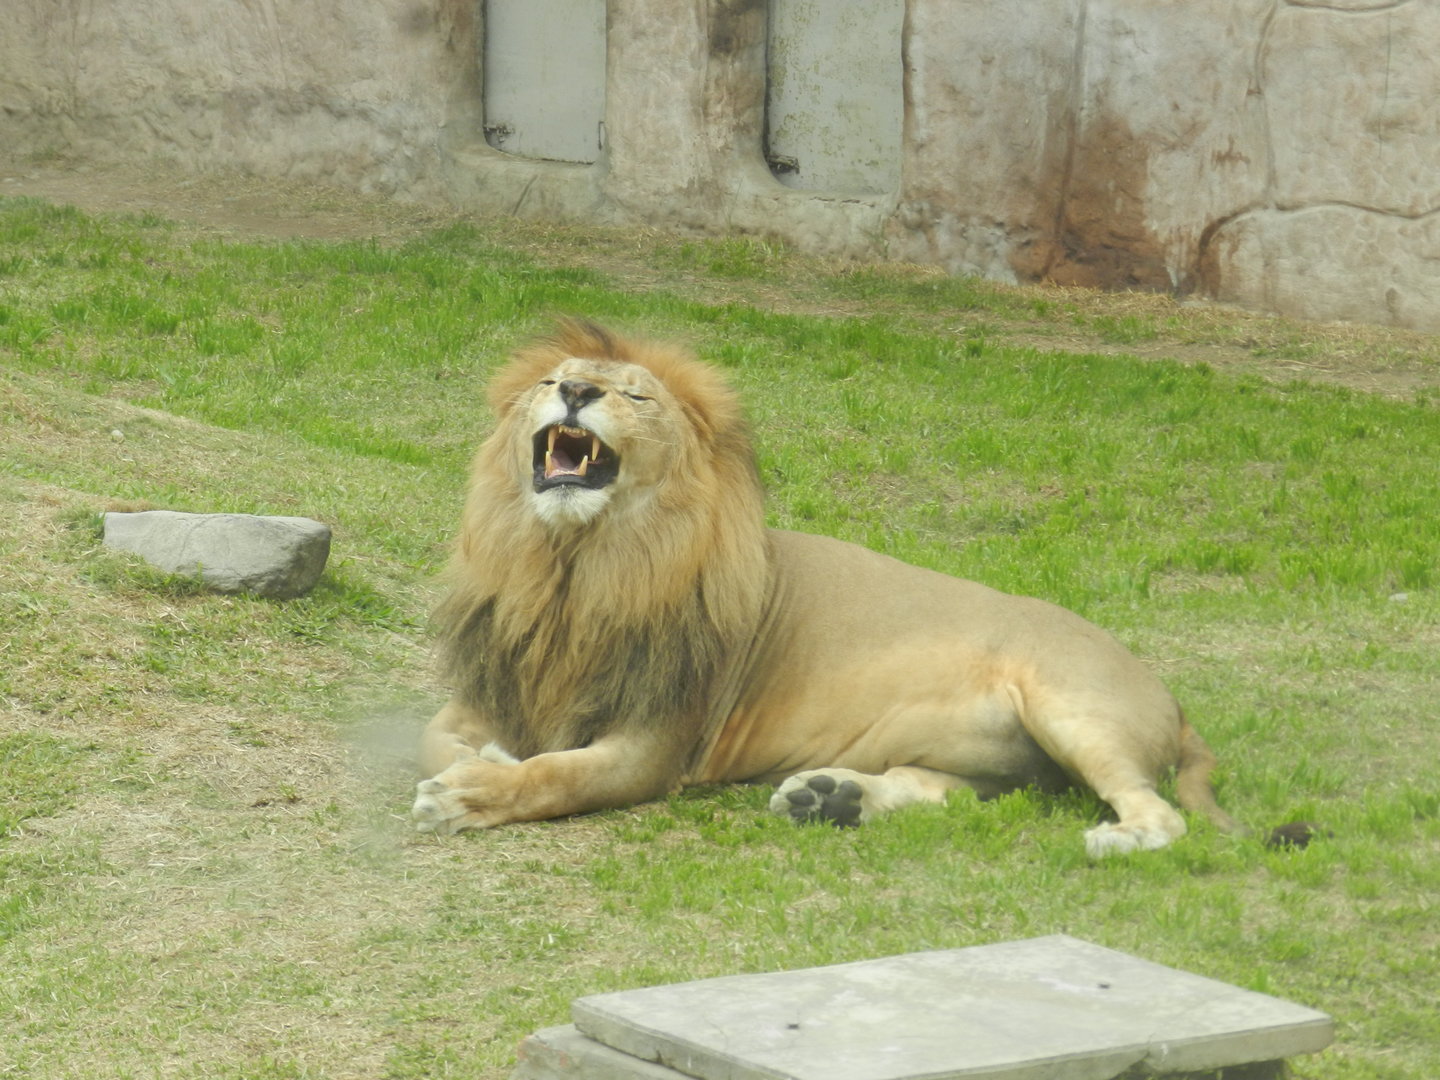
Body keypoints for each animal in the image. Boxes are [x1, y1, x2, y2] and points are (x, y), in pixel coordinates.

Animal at [411, 320, 1241, 856]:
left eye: (637, 398)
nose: (579, 389)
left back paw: (1118, 839)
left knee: (1162, 814)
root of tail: (1173, 701)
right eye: (551, 381)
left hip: (1070, 706)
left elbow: (557, 774)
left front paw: (473, 792)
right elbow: (436, 740)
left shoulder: (654, 742)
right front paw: (481, 763)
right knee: (949, 790)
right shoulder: (492, 687)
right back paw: (832, 798)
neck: (573, 567)